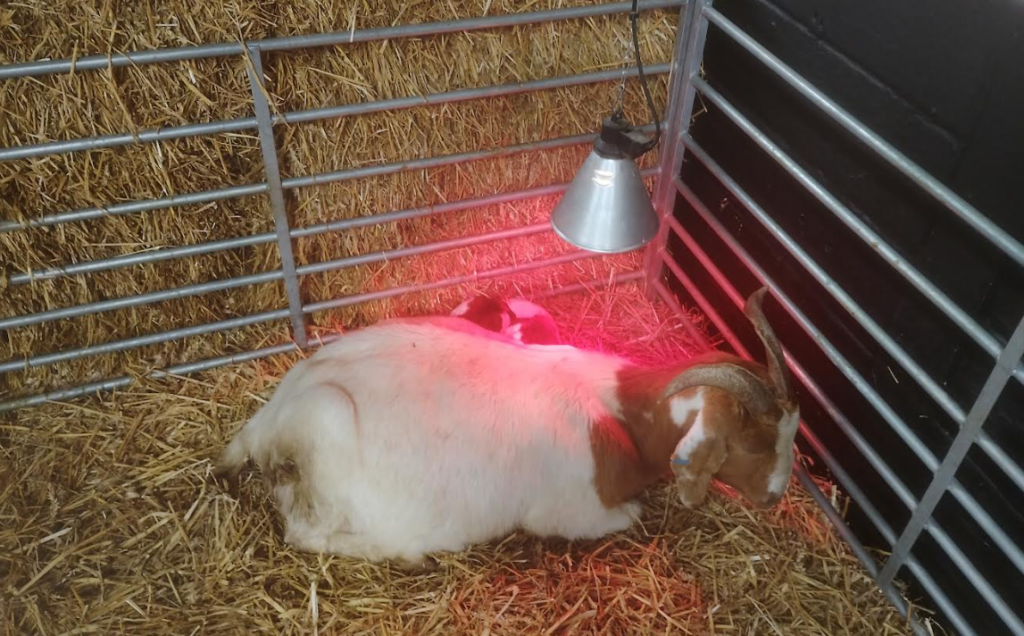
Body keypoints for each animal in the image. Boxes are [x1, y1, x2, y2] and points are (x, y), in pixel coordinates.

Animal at [216, 287, 799, 566]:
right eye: (750, 443)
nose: (775, 497)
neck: (617, 413)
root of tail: (266, 425)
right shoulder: (572, 512)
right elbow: (631, 516)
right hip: (327, 438)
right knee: (304, 534)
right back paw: (408, 554)